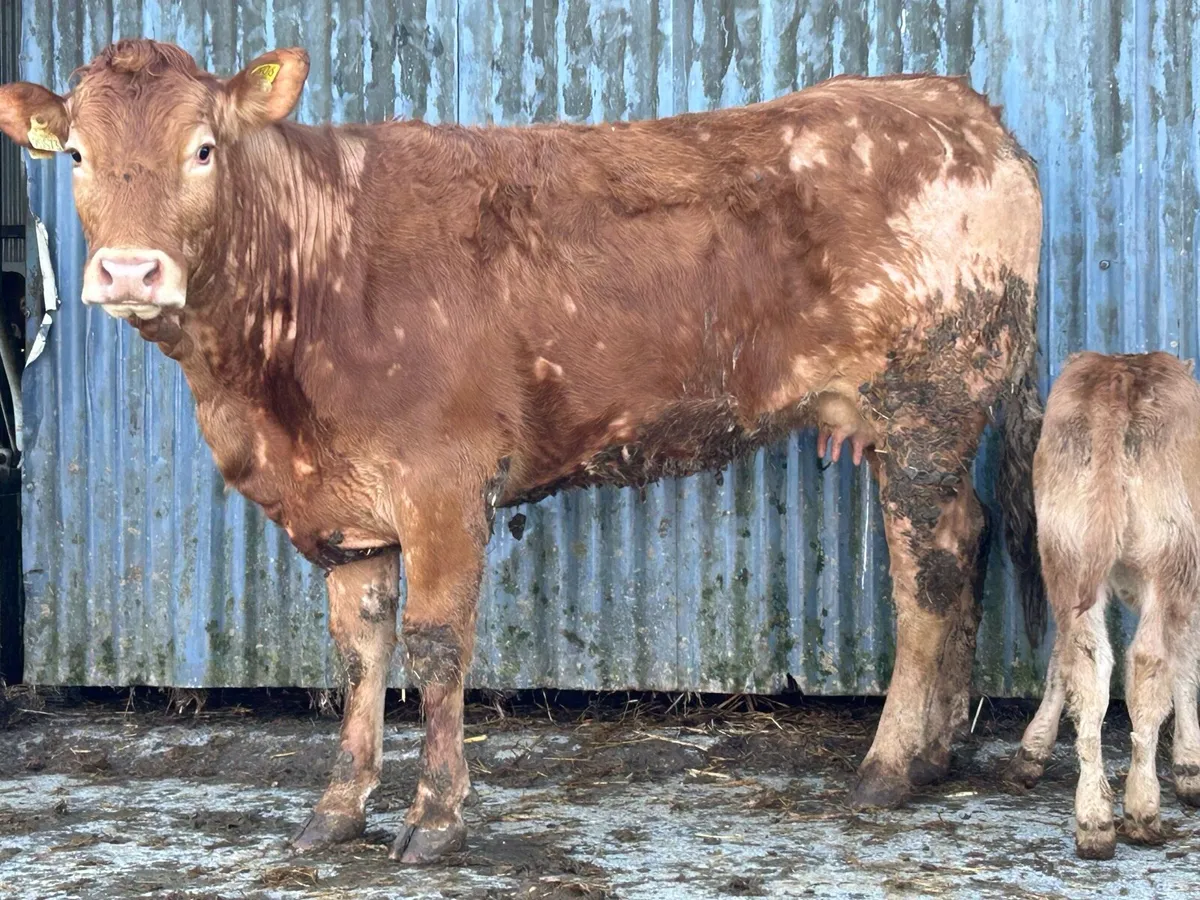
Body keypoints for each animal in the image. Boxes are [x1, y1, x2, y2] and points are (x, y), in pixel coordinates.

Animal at [0, 40, 1044, 864]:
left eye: (204, 149)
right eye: (79, 152)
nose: (130, 271)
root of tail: (958, 107)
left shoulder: (442, 484)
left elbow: (435, 646)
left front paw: (435, 819)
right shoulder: (346, 514)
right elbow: (357, 654)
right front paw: (337, 810)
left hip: (927, 401)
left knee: (927, 572)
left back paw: (889, 764)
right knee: (968, 536)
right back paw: (940, 752)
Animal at [1006, 351, 1200, 860]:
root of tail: (1117, 379)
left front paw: (1032, 751)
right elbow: (1187, 664)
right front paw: (1191, 765)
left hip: (1065, 552)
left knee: (1085, 662)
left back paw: (1092, 818)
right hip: (1169, 557)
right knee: (1148, 663)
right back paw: (1141, 809)